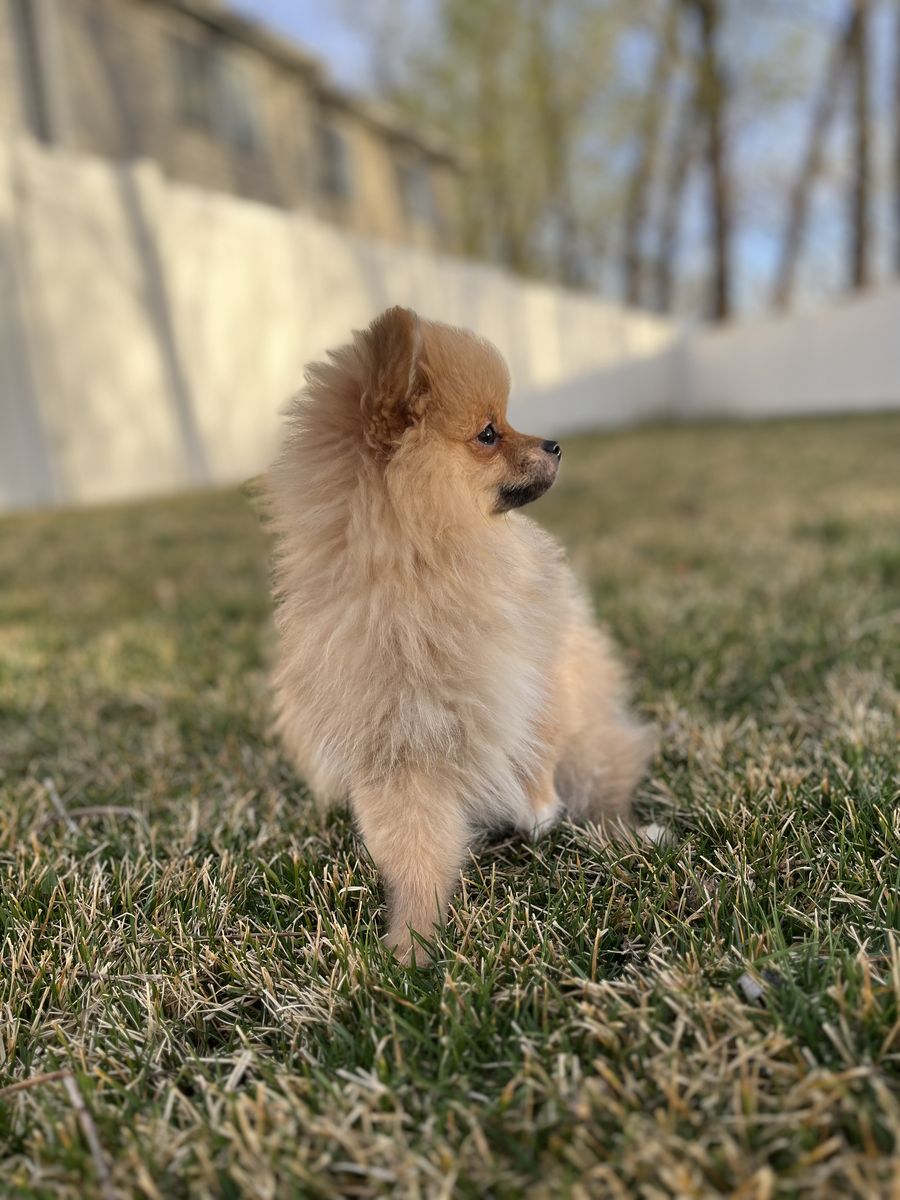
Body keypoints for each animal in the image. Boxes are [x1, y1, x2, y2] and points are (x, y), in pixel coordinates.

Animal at [268, 307, 653, 962]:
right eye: (489, 434)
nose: (555, 444)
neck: (427, 574)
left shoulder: (537, 673)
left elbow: (536, 742)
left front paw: (538, 803)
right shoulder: (398, 754)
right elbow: (414, 857)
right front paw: (411, 945)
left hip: (590, 742)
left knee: (605, 787)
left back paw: (629, 836)